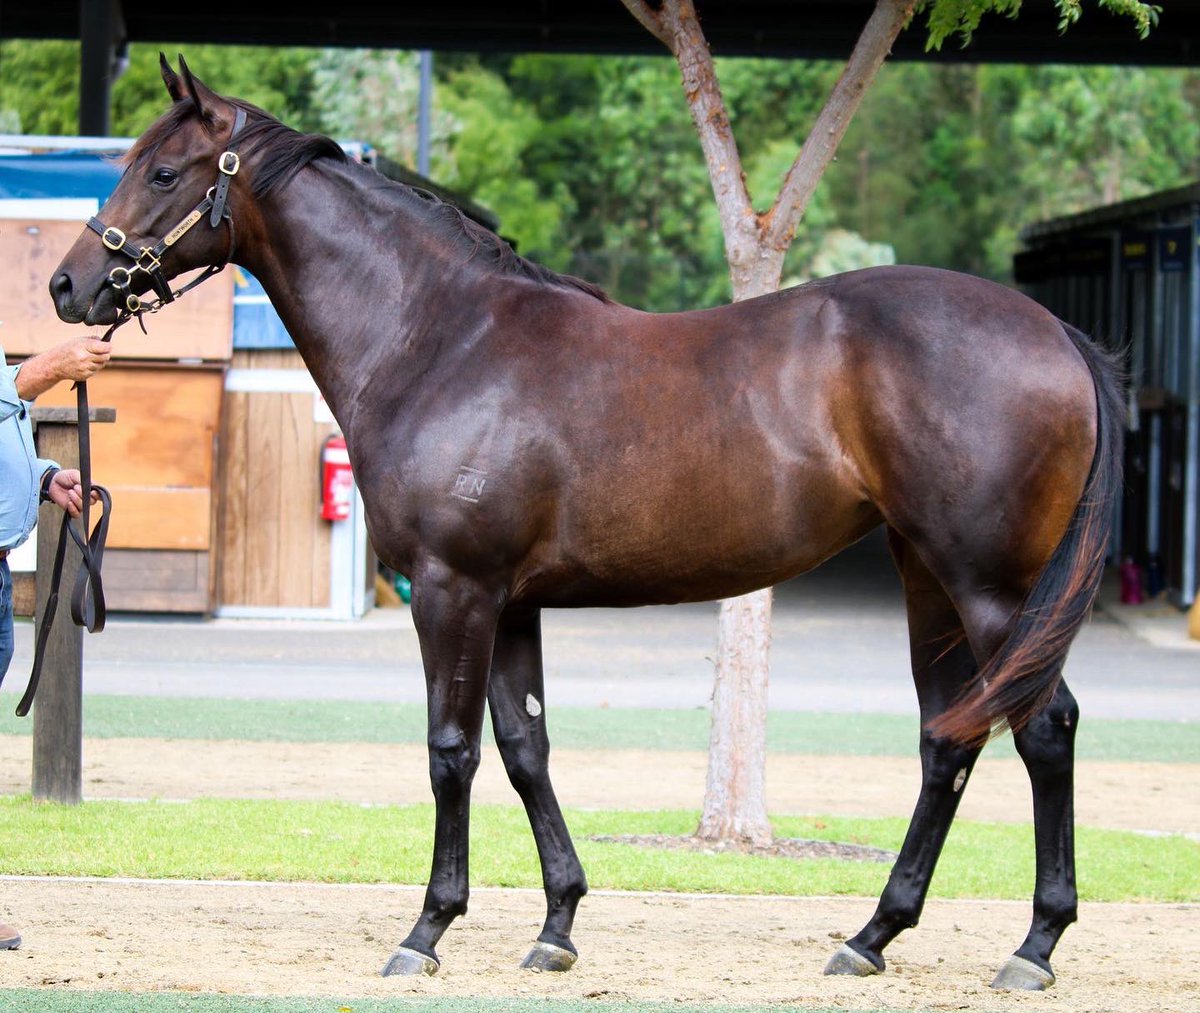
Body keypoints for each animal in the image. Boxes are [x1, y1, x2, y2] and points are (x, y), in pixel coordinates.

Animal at [49, 57, 1122, 992]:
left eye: (162, 170)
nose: (67, 285)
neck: (441, 337)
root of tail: (1055, 331)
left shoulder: (453, 589)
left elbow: (451, 751)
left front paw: (427, 929)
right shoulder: (511, 603)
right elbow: (526, 749)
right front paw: (557, 924)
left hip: (989, 587)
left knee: (1044, 727)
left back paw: (1032, 946)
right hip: (926, 577)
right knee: (950, 738)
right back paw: (871, 936)